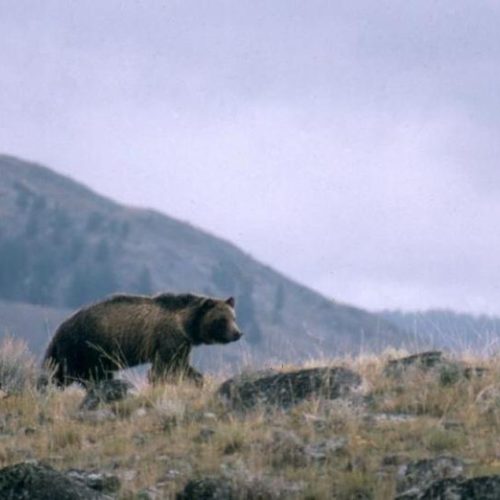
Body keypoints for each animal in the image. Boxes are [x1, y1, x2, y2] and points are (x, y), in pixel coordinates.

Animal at [44, 292, 243, 386]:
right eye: (222, 319)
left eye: (234, 317)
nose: (237, 333)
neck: (186, 325)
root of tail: (60, 329)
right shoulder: (168, 338)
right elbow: (164, 368)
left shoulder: (182, 345)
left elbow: (181, 366)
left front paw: (198, 380)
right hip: (86, 347)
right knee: (80, 375)